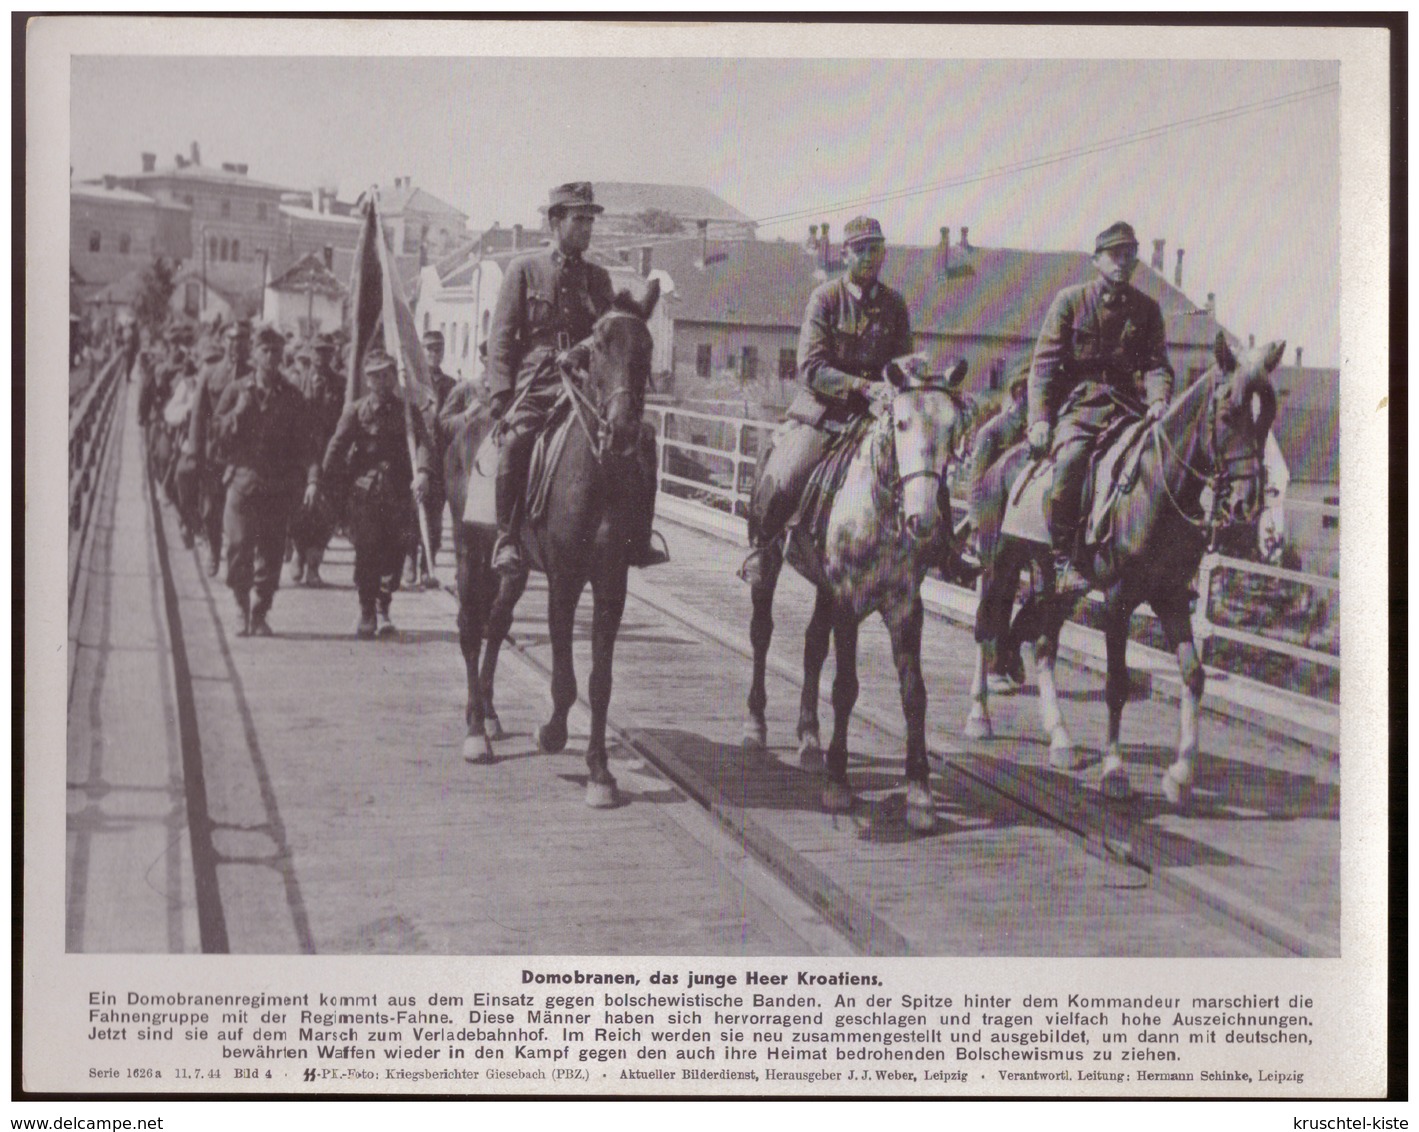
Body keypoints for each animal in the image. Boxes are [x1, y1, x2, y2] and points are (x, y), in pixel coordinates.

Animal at [442, 283, 658, 817]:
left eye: (646, 348)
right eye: (597, 345)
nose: (624, 430)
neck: (597, 472)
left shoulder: (611, 584)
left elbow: (600, 683)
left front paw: (600, 772)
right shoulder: (565, 578)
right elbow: (564, 678)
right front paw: (553, 733)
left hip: (514, 570)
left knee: (496, 623)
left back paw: (489, 713)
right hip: (469, 550)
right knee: (470, 628)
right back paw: (476, 732)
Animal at [737, 361, 970, 834]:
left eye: (953, 429)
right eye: (901, 424)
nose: (923, 521)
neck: (881, 508)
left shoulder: (905, 608)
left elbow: (914, 693)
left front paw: (920, 793)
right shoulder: (847, 601)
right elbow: (845, 687)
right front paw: (838, 782)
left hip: (824, 590)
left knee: (811, 647)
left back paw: (810, 739)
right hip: (770, 562)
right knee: (762, 634)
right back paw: (756, 724)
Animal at [970, 331, 1282, 811]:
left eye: (1266, 417)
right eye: (1229, 414)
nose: (1247, 505)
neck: (1157, 486)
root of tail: (1007, 457)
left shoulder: (1170, 597)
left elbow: (1194, 675)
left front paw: (1180, 776)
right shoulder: (1118, 599)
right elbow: (1117, 684)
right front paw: (1114, 773)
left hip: (1058, 584)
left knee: (1041, 645)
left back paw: (1061, 740)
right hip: (997, 565)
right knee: (986, 626)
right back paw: (979, 716)